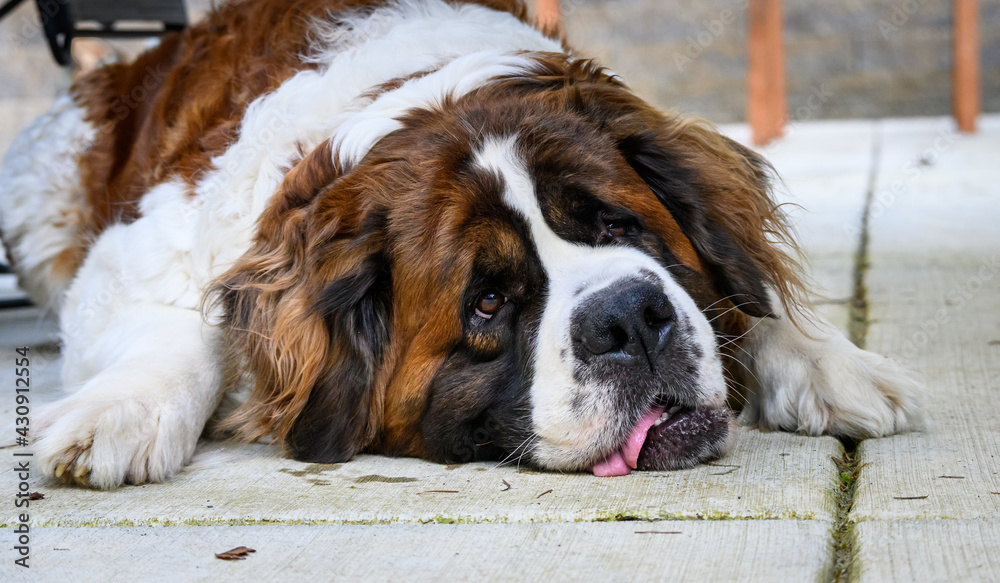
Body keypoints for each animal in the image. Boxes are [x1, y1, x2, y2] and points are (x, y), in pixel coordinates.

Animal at [0, 0, 920, 488]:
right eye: (487, 300)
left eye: (619, 227)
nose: (628, 317)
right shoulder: (137, 252)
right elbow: (187, 323)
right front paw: (120, 411)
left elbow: (743, 296)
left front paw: (827, 358)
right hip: (37, 204)